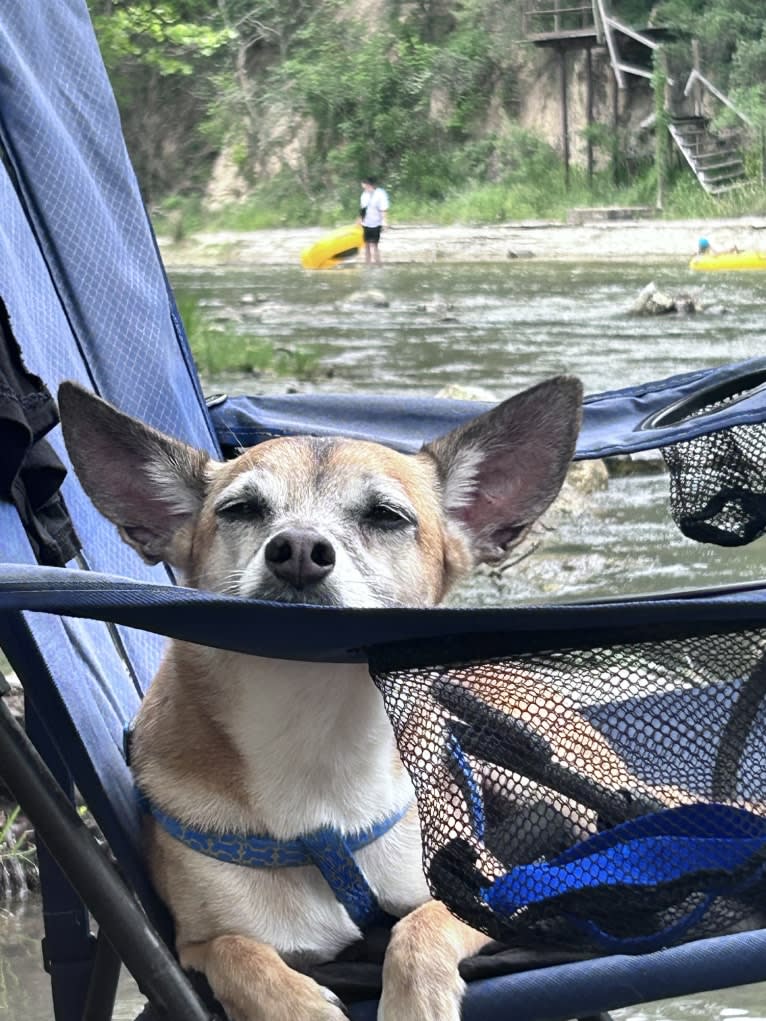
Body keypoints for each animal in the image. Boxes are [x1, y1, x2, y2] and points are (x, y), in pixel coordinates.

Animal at [58, 377, 588, 1021]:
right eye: (240, 509)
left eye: (386, 516)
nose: (298, 547)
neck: (315, 721)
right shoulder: (195, 947)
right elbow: (241, 954)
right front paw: (297, 1006)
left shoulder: (489, 892)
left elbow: (422, 926)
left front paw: (414, 1002)